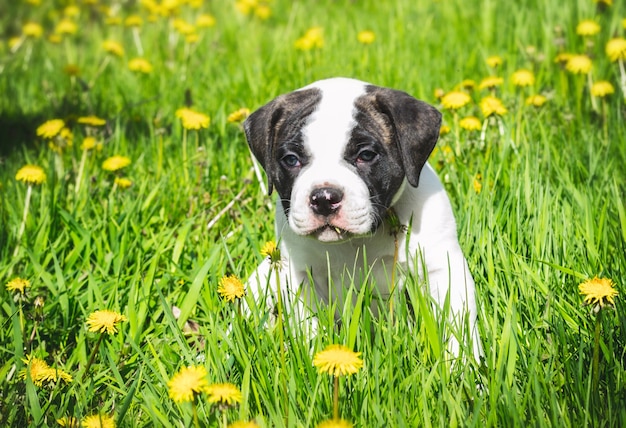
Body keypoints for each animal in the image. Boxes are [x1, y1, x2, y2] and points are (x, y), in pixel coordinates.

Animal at [241, 77, 480, 362]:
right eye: (291, 159)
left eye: (365, 155)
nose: (324, 198)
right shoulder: (299, 277)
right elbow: (310, 328)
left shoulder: (443, 270)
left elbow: (458, 328)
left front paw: (463, 369)